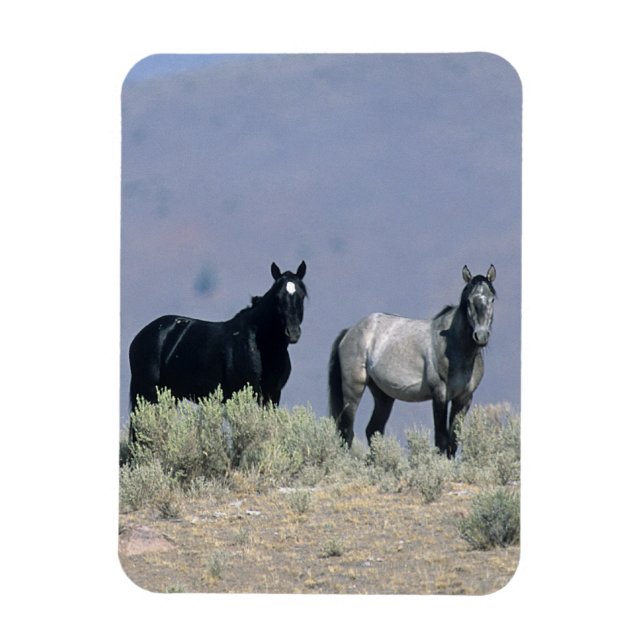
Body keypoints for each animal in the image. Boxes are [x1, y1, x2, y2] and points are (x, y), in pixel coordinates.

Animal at [128, 261, 307, 443]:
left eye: (302, 296)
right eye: (277, 297)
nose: (293, 333)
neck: (260, 346)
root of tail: (140, 336)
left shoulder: (272, 396)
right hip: (147, 392)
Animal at [328, 265, 496, 457]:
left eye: (492, 299)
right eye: (468, 301)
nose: (481, 336)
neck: (454, 347)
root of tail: (350, 331)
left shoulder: (464, 399)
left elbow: (453, 443)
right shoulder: (440, 395)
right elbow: (441, 440)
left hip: (383, 395)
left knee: (373, 430)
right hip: (353, 389)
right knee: (346, 433)